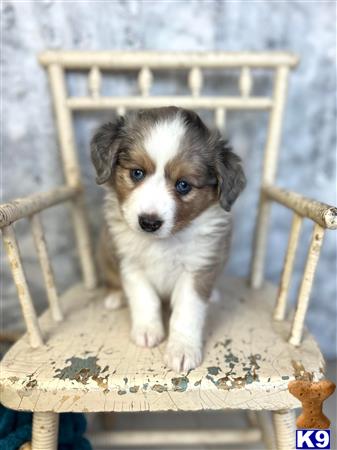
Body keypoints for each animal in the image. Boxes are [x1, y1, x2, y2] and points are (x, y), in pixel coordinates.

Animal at [90, 106, 245, 372]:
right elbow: (145, 298)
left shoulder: (198, 268)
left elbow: (187, 312)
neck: (164, 241)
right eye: (137, 173)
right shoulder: (130, 263)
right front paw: (147, 331)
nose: (149, 223)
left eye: (183, 185)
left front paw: (182, 349)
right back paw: (115, 296)